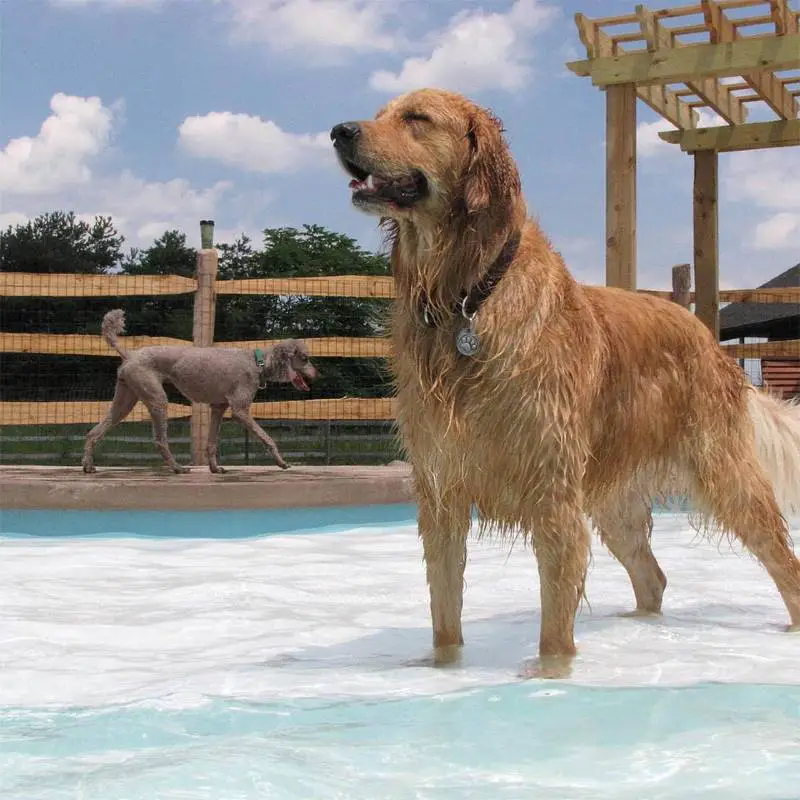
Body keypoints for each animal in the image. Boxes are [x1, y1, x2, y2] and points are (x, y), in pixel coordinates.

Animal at [330, 86, 800, 676]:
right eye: (380, 113)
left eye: (417, 117)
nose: (338, 131)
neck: (466, 296)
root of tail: (703, 330)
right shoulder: (440, 495)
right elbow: (445, 613)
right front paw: (442, 669)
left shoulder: (552, 496)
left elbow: (555, 623)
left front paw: (550, 675)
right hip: (613, 502)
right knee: (653, 577)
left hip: (727, 476)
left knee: (785, 563)